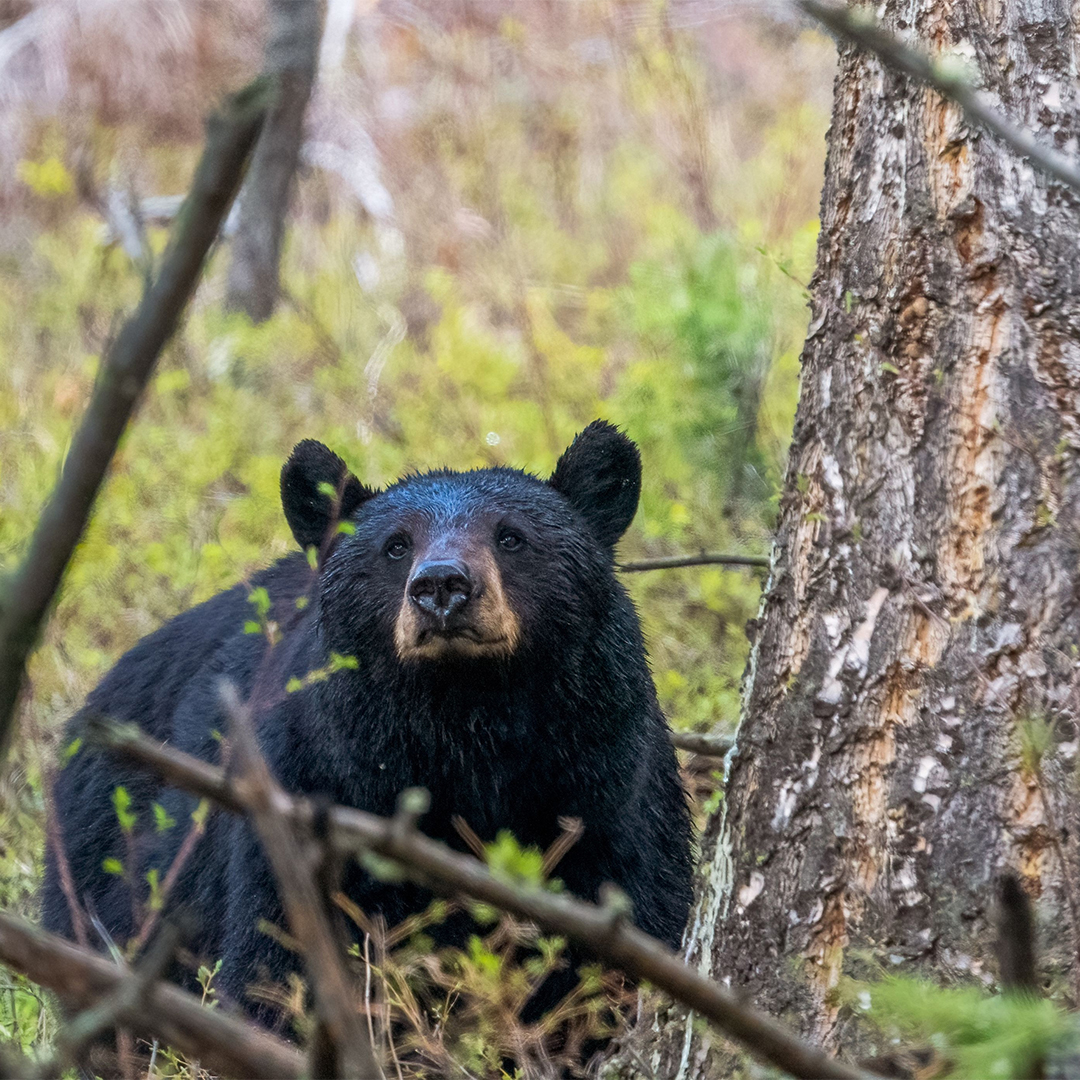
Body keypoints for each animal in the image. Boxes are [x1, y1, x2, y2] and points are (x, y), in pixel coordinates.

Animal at [42, 421, 693, 1031]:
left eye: (512, 537)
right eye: (395, 546)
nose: (442, 585)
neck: (467, 724)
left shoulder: (605, 783)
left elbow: (628, 921)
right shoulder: (314, 783)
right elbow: (277, 958)